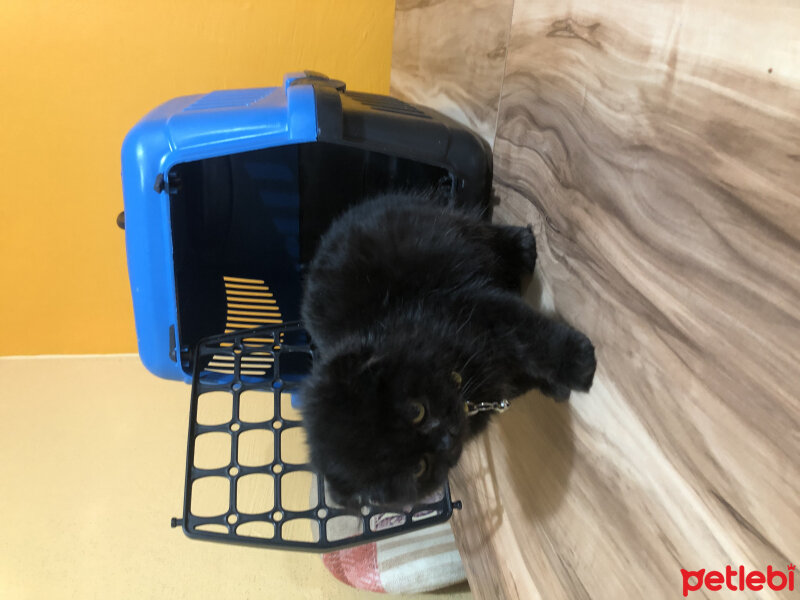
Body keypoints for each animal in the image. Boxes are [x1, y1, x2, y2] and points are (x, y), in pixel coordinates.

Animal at [298, 191, 592, 506]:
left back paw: (523, 247)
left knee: (484, 232)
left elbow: (528, 335)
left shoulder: (473, 306)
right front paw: (554, 386)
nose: (447, 438)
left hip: (442, 230)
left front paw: (577, 363)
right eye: (419, 468)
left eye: (417, 411)